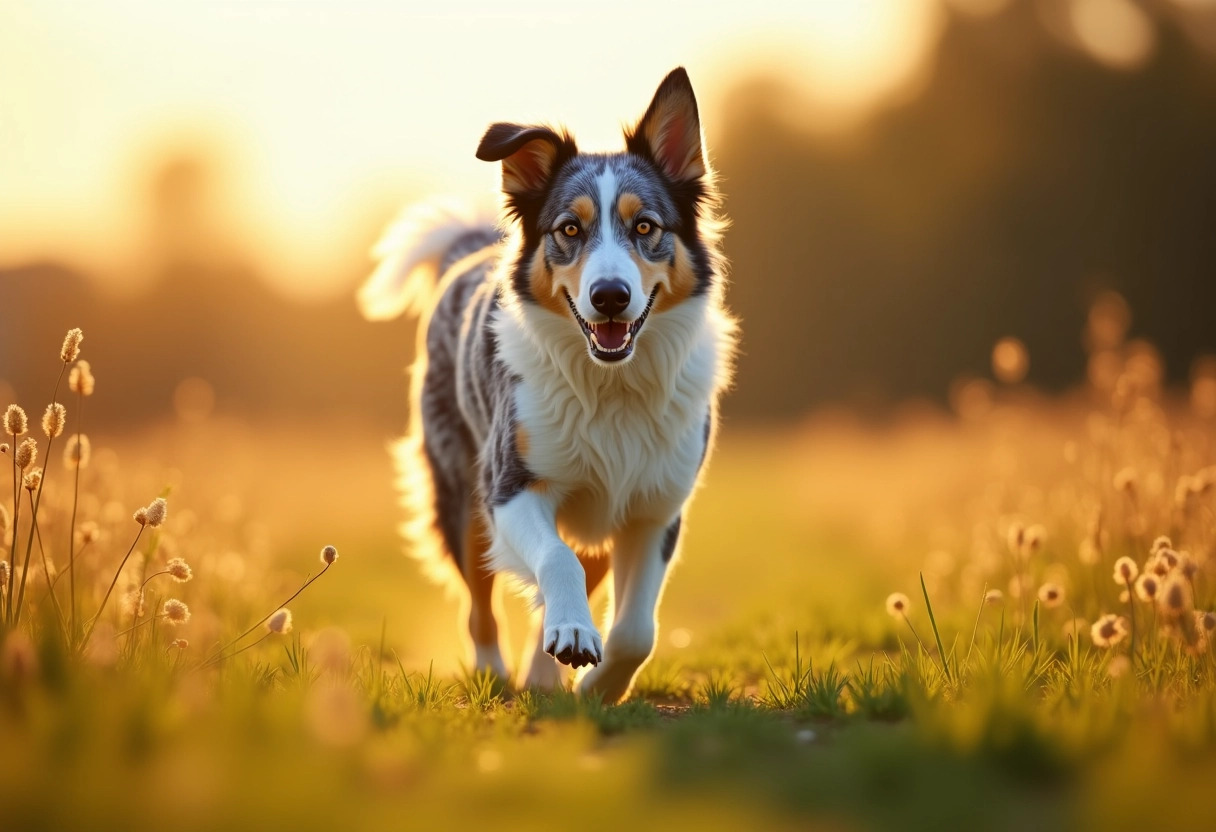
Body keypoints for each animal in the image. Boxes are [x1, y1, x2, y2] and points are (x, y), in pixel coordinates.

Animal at [355, 66, 734, 700]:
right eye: (569, 228)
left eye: (646, 226)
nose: (610, 296)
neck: (611, 386)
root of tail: (468, 250)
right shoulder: (508, 487)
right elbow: (556, 561)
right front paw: (574, 641)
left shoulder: (654, 508)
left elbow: (637, 630)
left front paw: (597, 688)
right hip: (462, 497)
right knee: (480, 605)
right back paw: (496, 673)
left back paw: (543, 675)